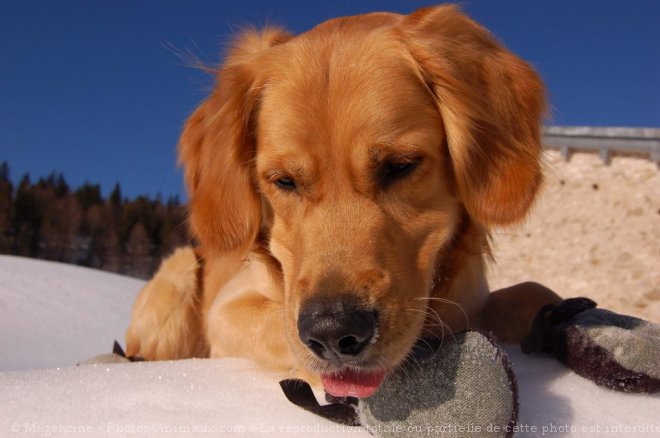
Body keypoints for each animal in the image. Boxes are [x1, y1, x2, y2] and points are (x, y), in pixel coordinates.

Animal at [126, 3, 560, 398]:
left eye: (400, 166)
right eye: (283, 181)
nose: (334, 333)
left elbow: (536, 291)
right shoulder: (228, 308)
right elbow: (277, 326)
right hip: (180, 270)